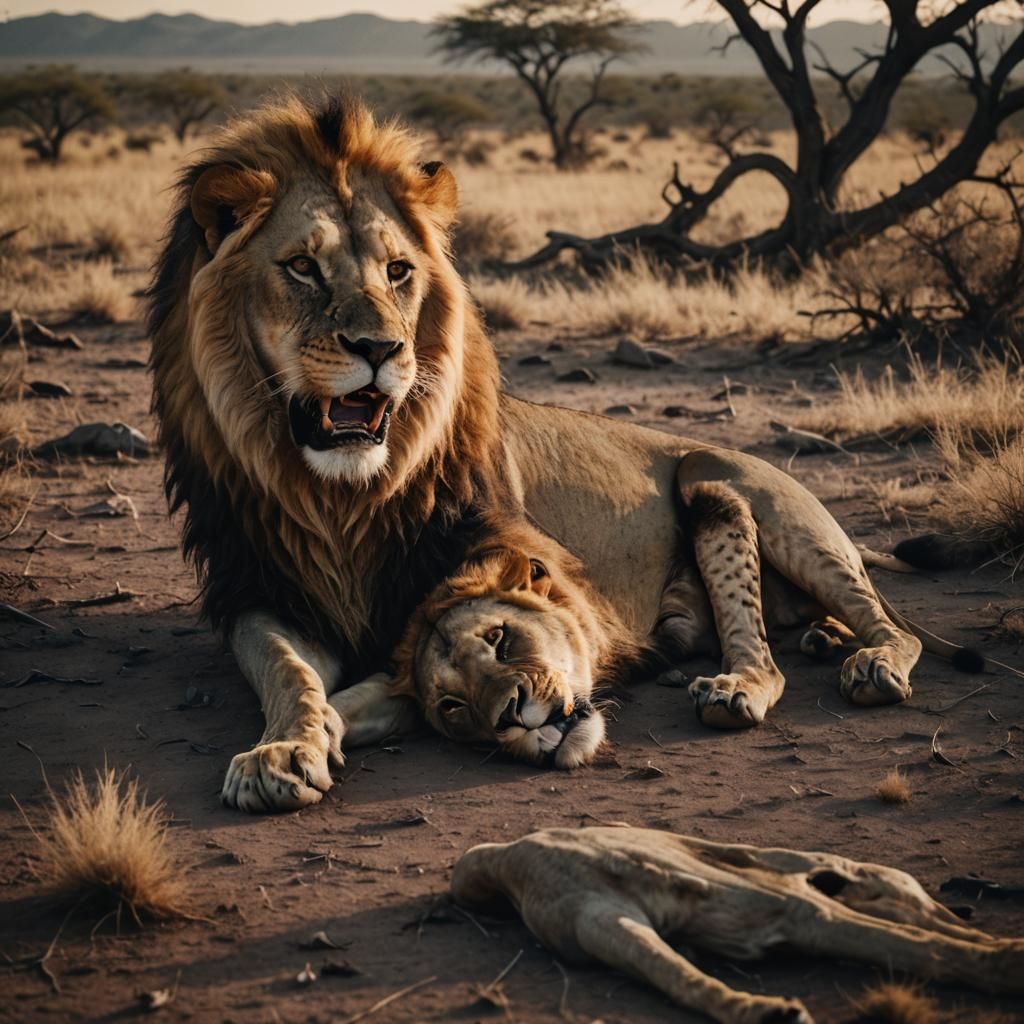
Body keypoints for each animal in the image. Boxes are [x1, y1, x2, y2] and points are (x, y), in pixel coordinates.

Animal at [148, 93, 987, 813]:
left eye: (397, 271)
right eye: (302, 266)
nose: (381, 350)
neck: (344, 500)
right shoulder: (262, 588)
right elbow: (295, 676)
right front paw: (288, 747)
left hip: (742, 494)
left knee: (891, 625)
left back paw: (857, 661)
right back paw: (819, 637)